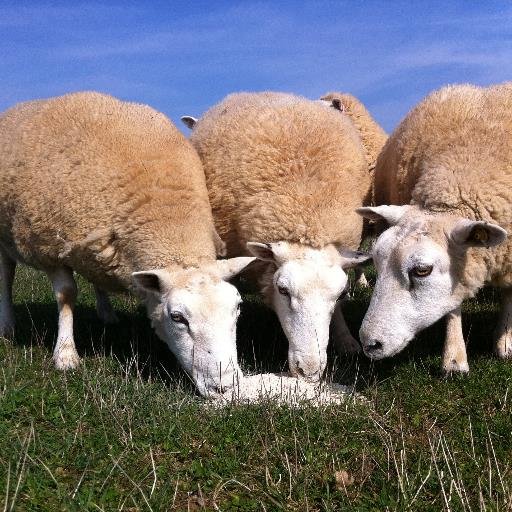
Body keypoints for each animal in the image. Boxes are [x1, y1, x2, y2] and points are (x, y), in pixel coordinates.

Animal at [0, 92, 255, 396]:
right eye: (177, 317)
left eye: (237, 308)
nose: (225, 387)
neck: (165, 208)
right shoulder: (49, 247)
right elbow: (66, 295)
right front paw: (65, 356)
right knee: (6, 275)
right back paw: (7, 325)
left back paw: (107, 313)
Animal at [356, 83, 512, 372]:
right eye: (377, 263)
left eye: (422, 270)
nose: (370, 344)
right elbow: (451, 307)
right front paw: (454, 358)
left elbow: (508, 293)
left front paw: (505, 342)